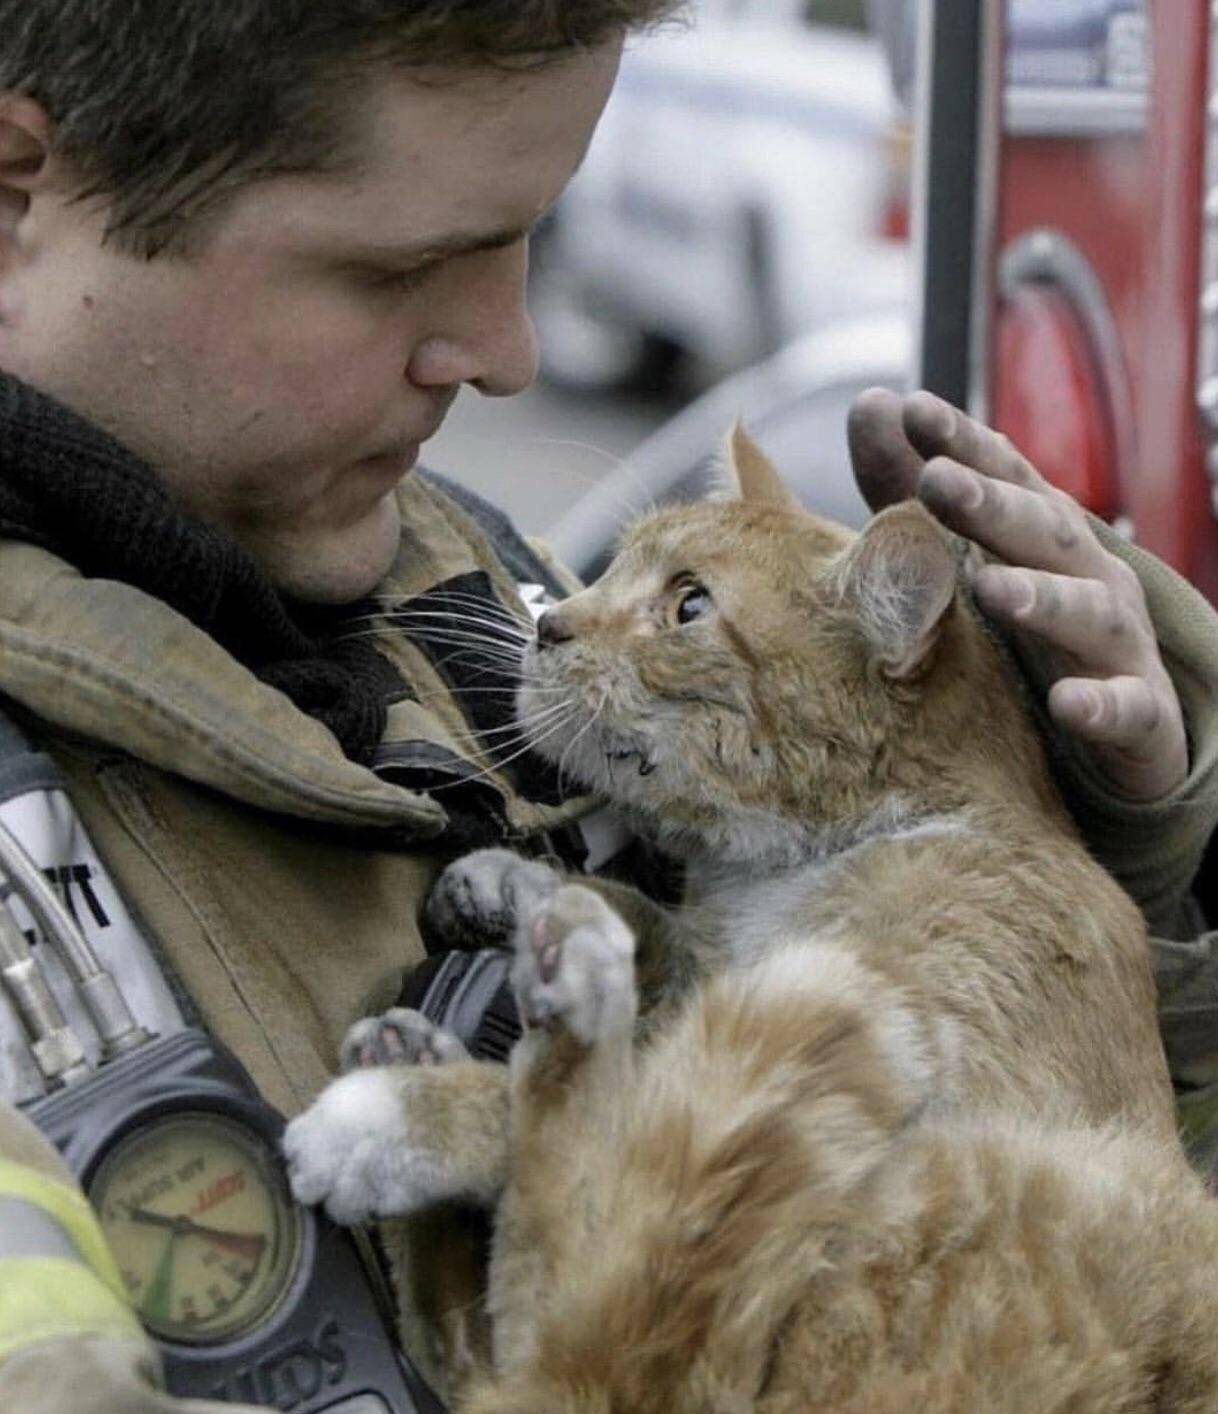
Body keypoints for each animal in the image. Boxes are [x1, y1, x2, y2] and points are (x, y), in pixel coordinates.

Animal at [282, 432, 1216, 1414]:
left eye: (687, 605)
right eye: (617, 566)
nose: (549, 623)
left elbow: (628, 1122)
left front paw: (416, 1114)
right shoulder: (715, 958)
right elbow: (645, 922)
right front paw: (513, 886)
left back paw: (400, 1096)